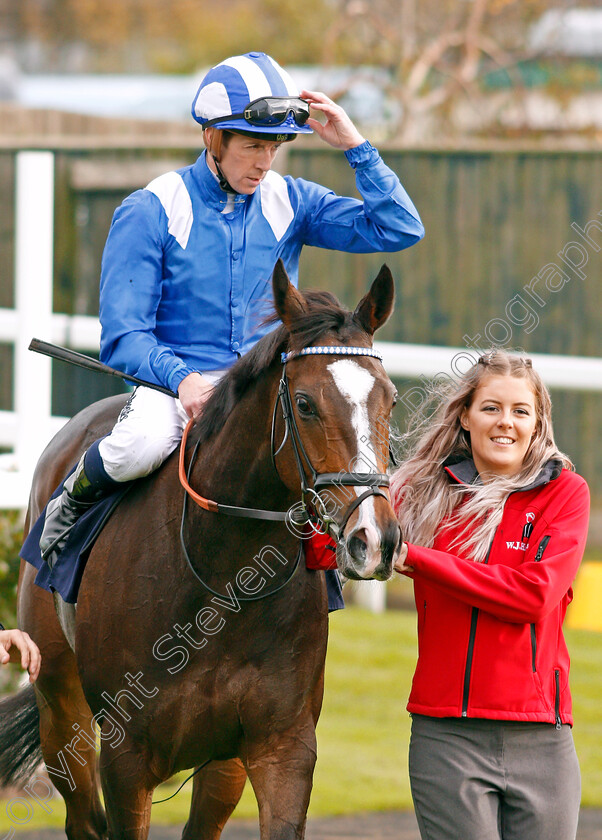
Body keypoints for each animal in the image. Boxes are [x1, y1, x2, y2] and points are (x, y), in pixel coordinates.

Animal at [5, 262, 398, 840]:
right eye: (305, 404)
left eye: (389, 399)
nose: (375, 539)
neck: (220, 582)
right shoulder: (126, 758)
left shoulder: (280, 746)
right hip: (60, 705)